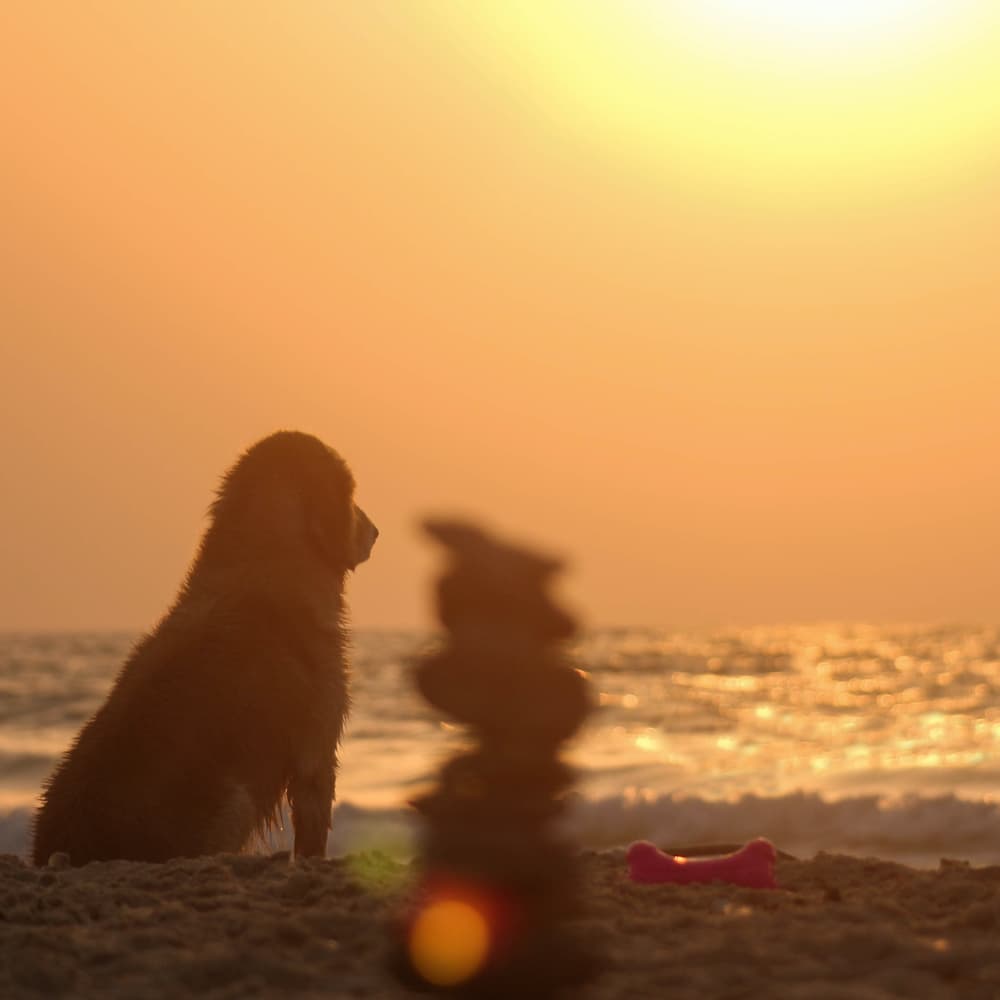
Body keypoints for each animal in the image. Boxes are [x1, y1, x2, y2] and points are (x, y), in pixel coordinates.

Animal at [31, 432, 376, 868]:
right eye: (352, 496)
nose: (376, 531)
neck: (267, 565)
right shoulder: (317, 746)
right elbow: (313, 828)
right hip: (236, 798)